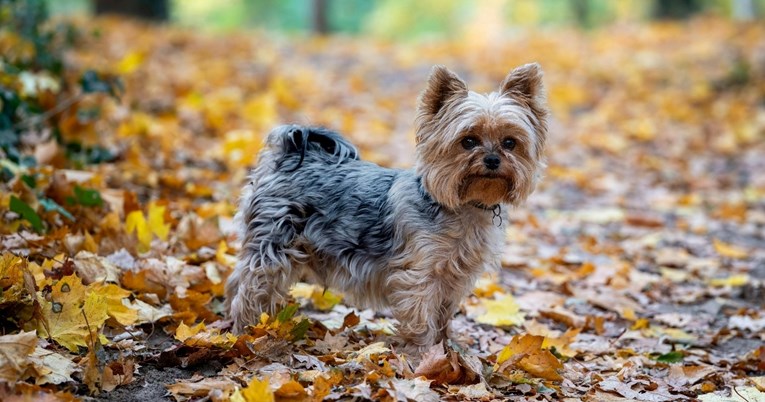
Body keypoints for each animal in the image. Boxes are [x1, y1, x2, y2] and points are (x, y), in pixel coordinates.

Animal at [224, 62, 548, 348]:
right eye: (468, 141)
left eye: (510, 142)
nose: (492, 160)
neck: (463, 205)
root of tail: (290, 154)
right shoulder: (418, 276)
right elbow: (422, 321)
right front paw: (426, 358)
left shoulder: (454, 279)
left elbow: (442, 318)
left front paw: (448, 353)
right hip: (274, 246)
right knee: (251, 288)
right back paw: (247, 332)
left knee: (236, 280)